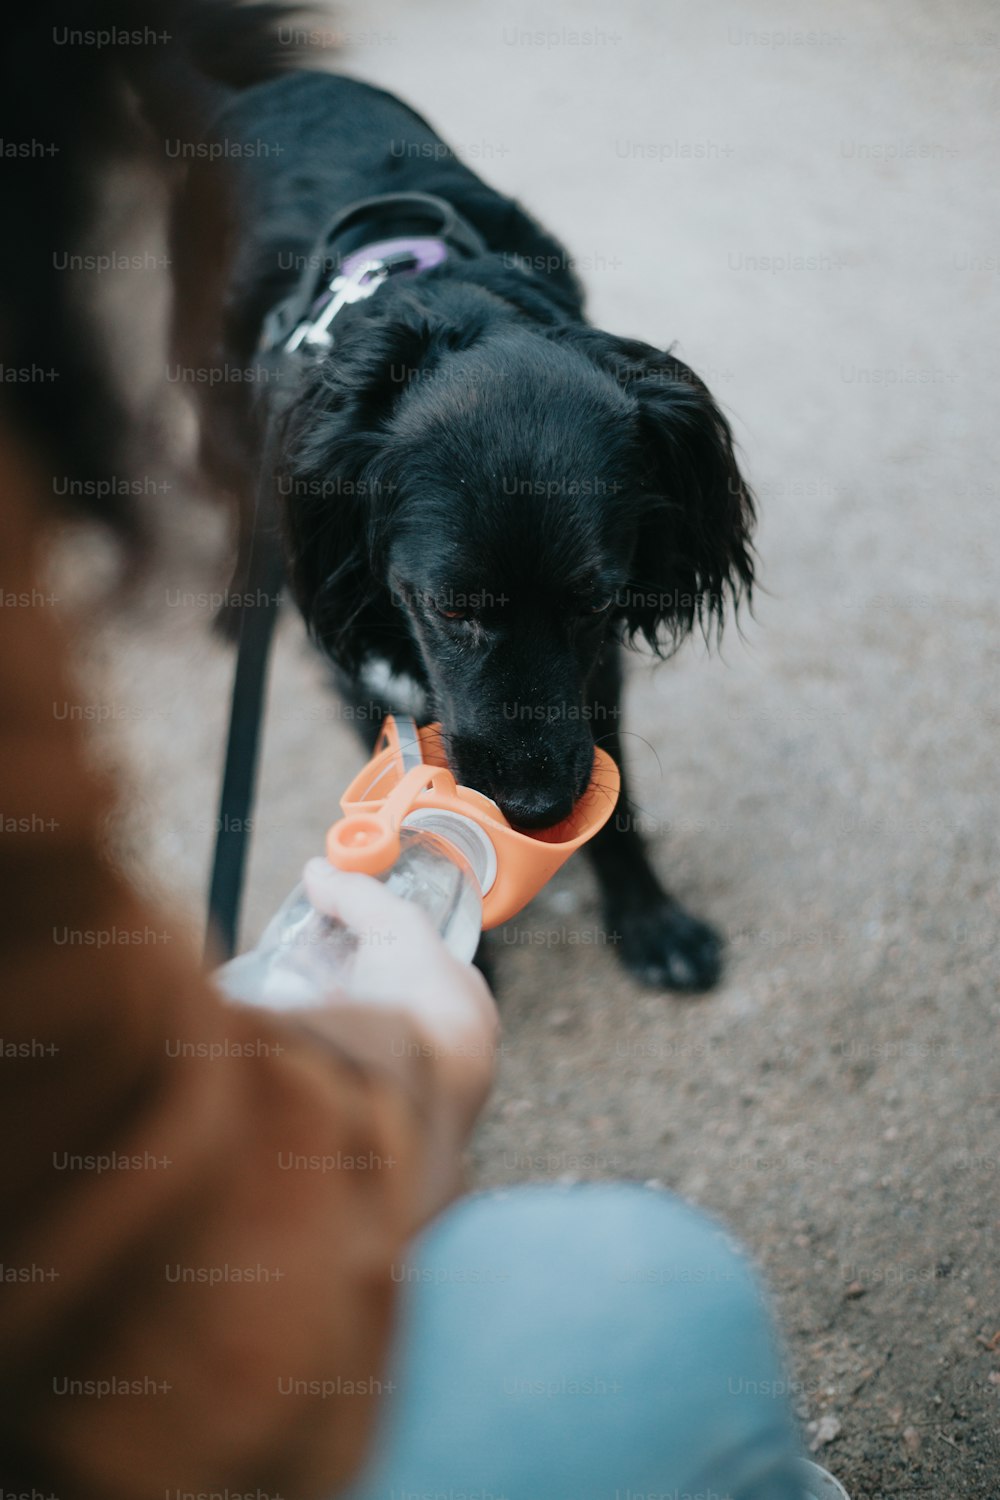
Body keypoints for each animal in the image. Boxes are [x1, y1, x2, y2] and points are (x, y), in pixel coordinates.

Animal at [172, 64, 755, 990]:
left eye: (596, 603)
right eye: (449, 608)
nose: (535, 809)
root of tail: (280, 79)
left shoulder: (593, 663)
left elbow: (613, 782)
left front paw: (649, 917)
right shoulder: (360, 644)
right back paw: (237, 608)